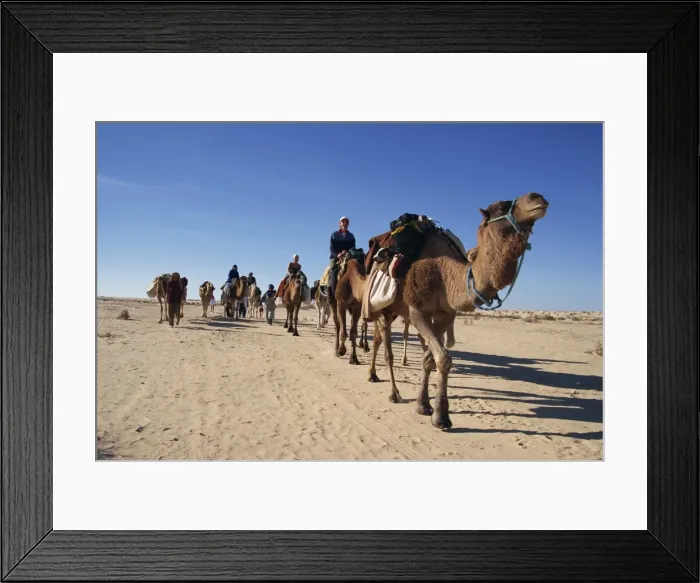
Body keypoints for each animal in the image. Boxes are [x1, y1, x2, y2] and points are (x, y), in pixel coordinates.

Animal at [367, 193, 549, 430]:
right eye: (501, 207)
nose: (537, 198)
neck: (446, 276)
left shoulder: (445, 315)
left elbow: (430, 358)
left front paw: (424, 405)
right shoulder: (417, 312)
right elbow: (443, 358)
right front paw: (441, 417)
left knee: (380, 340)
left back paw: (375, 376)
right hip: (383, 307)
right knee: (386, 349)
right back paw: (393, 392)